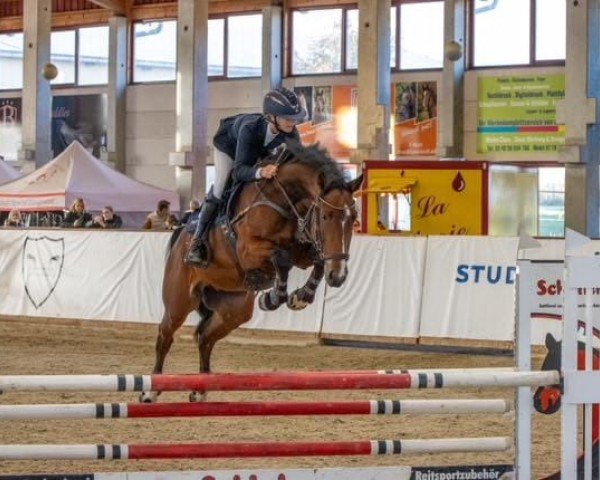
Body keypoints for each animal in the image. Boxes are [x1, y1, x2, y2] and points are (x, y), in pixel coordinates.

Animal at [141, 142, 364, 402]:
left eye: (354, 218)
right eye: (325, 216)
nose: (338, 276)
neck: (284, 199)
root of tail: (180, 235)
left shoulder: (302, 251)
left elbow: (316, 260)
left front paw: (300, 297)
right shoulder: (250, 251)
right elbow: (282, 260)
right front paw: (272, 297)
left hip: (234, 310)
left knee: (205, 338)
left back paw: (200, 390)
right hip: (179, 301)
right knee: (165, 334)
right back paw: (150, 390)